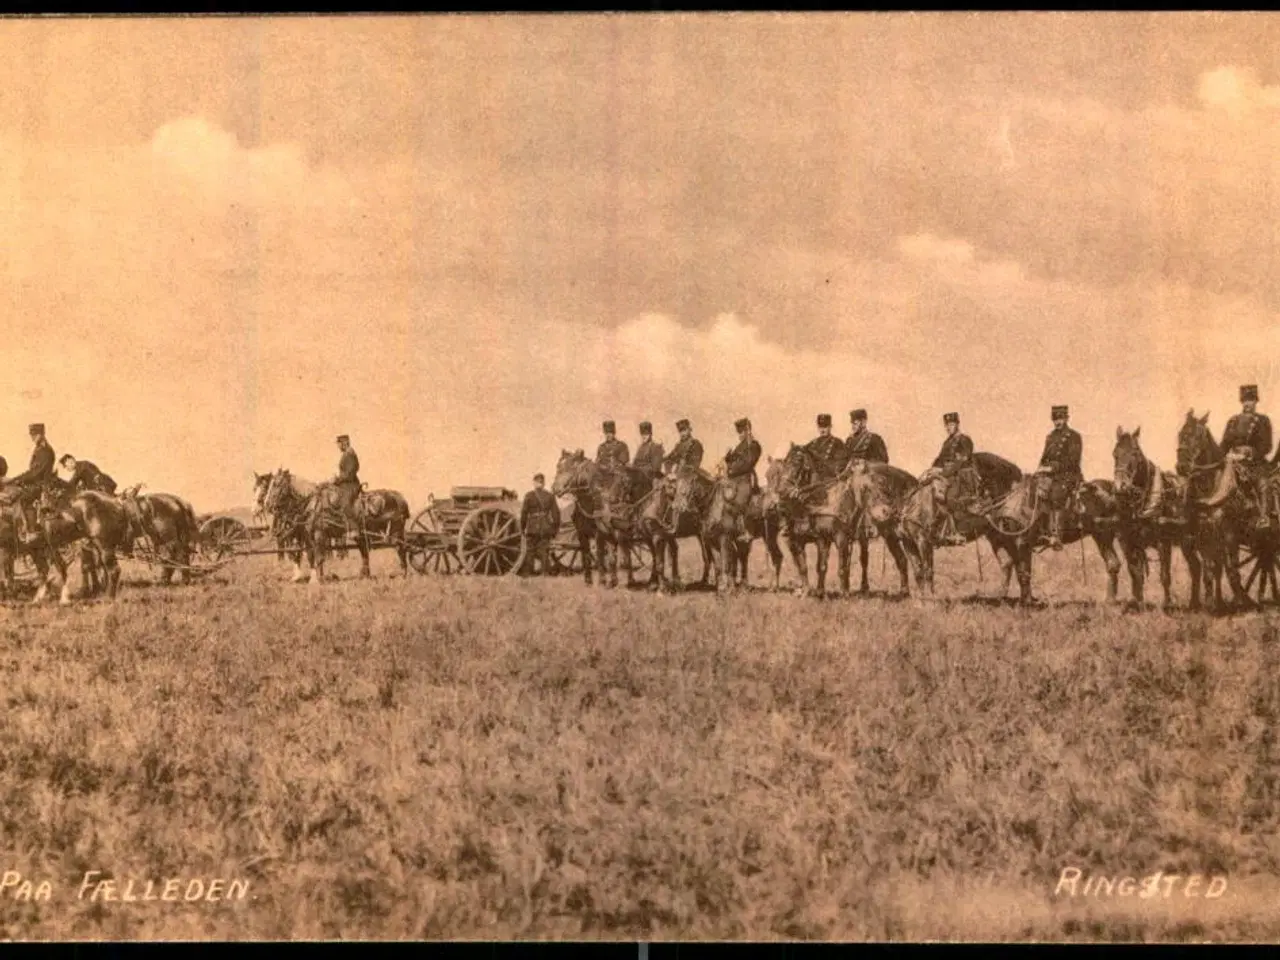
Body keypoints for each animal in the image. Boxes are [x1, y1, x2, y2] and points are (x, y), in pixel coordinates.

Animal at [550, 448, 655, 591]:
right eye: (558, 467)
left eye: (569, 467)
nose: (554, 489)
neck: (591, 500)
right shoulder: (584, 533)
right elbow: (588, 555)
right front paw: (591, 581)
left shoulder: (600, 534)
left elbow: (601, 555)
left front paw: (602, 581)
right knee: (628, 550)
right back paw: (631, 579)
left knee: (650, 550)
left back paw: (651, 580)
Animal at [762, 448, 855, 599]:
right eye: (766, 476)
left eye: (797, 463)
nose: (769, 507)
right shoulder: (797, 541)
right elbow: (803, 566)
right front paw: (806, 591)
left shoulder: (830, 538)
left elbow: (824, 566)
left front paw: (823, 592)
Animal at [896, 453, 1034, 601]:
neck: (914, 504)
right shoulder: (908, 542)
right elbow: (918, 571)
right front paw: (922, 599)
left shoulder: (924, 542)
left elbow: (928, 571)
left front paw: (929, 599)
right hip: (996, 536)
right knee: (1008, 563)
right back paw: (1002, 597)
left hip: (1011, 535)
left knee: (1023, 562)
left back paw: (1025, 599)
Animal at [1111, 427, 1198, 609]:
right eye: (1115, 454)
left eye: (1135, 453)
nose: (1120, 488)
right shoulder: (1127, 542)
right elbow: (1135, 574)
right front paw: (1137, 602)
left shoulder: (1163, 542)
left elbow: (1165, 575)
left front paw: (1167, 604)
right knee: (1197, 567)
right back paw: (1194, 603)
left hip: (1188, 541)